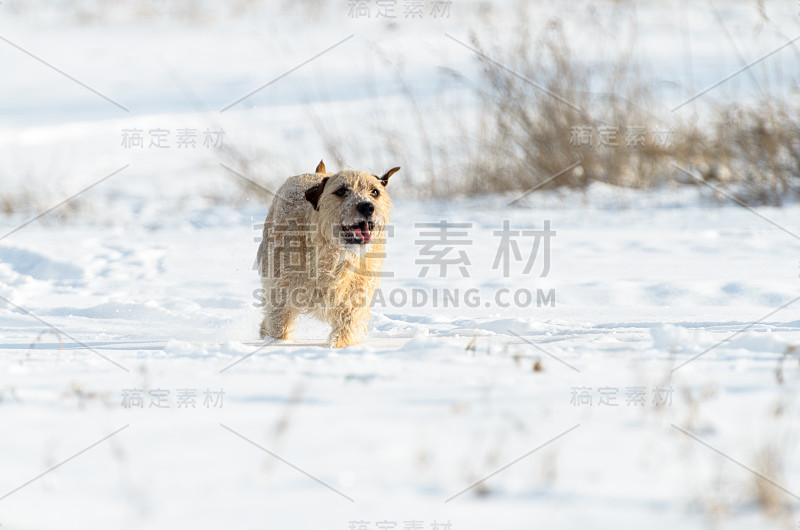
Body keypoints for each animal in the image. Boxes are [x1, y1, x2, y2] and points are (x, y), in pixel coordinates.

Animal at [256, 160, 400, 346]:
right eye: (341, 191)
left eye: (375, 192)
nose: (367, 206)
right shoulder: (280, 289)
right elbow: (279, 321)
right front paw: (277, 344)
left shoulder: (357, 293)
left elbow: (348, 324)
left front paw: (337, 346)